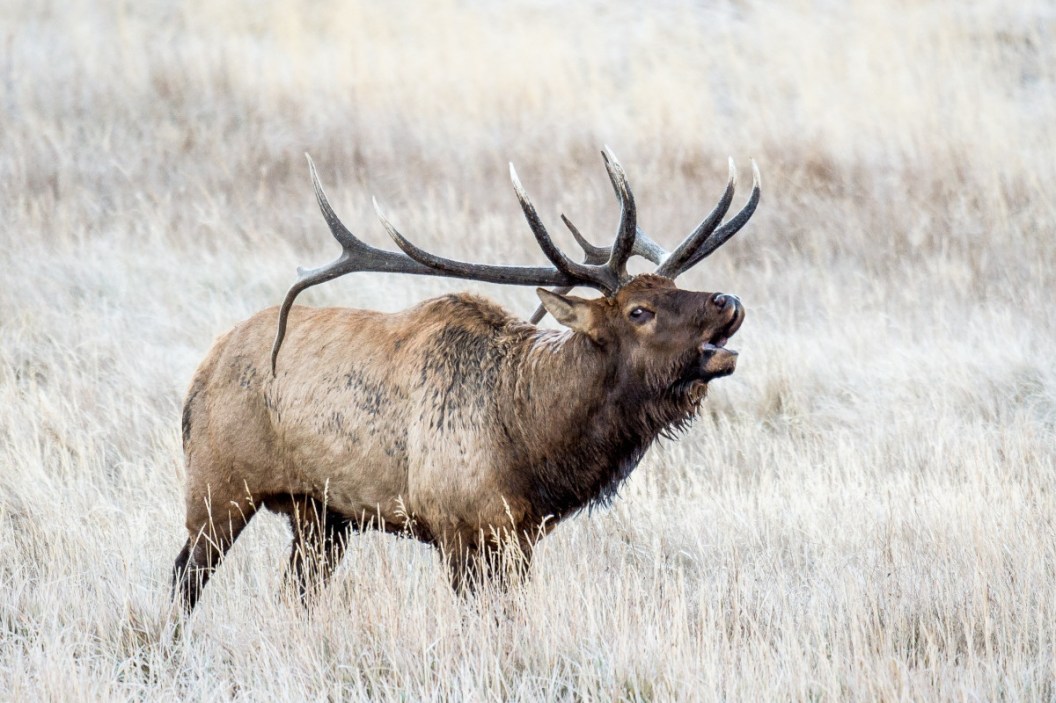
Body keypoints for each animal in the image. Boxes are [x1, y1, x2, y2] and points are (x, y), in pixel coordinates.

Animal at [173, 149, 759, 610]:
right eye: (639, 311)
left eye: (674, 287)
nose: (728, 300)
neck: (531, 443)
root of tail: (202, 370)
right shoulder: (453, 525)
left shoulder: (520, 535)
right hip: (217, 485)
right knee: (186, 574)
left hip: (319, 513)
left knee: (296, 591)